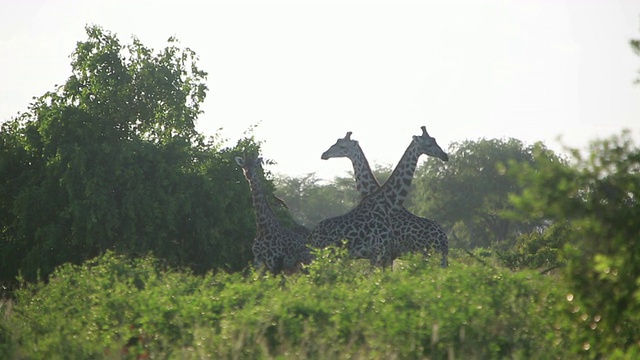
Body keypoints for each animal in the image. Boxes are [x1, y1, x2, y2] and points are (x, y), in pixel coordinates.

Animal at [312, 126, 450, 268]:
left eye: (341, 145)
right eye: (429, 143)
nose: (324, 154)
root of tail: (444, 238)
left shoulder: (384, 254)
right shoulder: (384, 255)